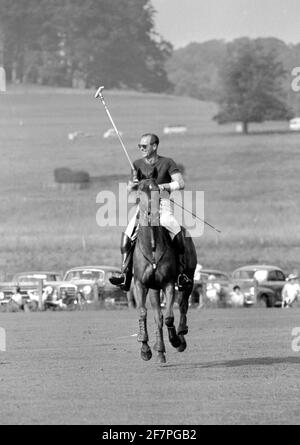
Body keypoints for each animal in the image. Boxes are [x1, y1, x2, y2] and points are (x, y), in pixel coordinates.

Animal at [133, 168, 197, 362]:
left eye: (156, 190)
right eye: (139, 190)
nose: (151, 213)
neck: (152, 245)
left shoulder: (168, 283)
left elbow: (169, 316)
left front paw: (175, 340)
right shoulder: (141, 284)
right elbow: (144, 313)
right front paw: (145, 348)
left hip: (189, 279)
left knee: (183, 305)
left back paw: (181, 335)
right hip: (154, 289)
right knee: (157, 317)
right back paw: (160, 350)